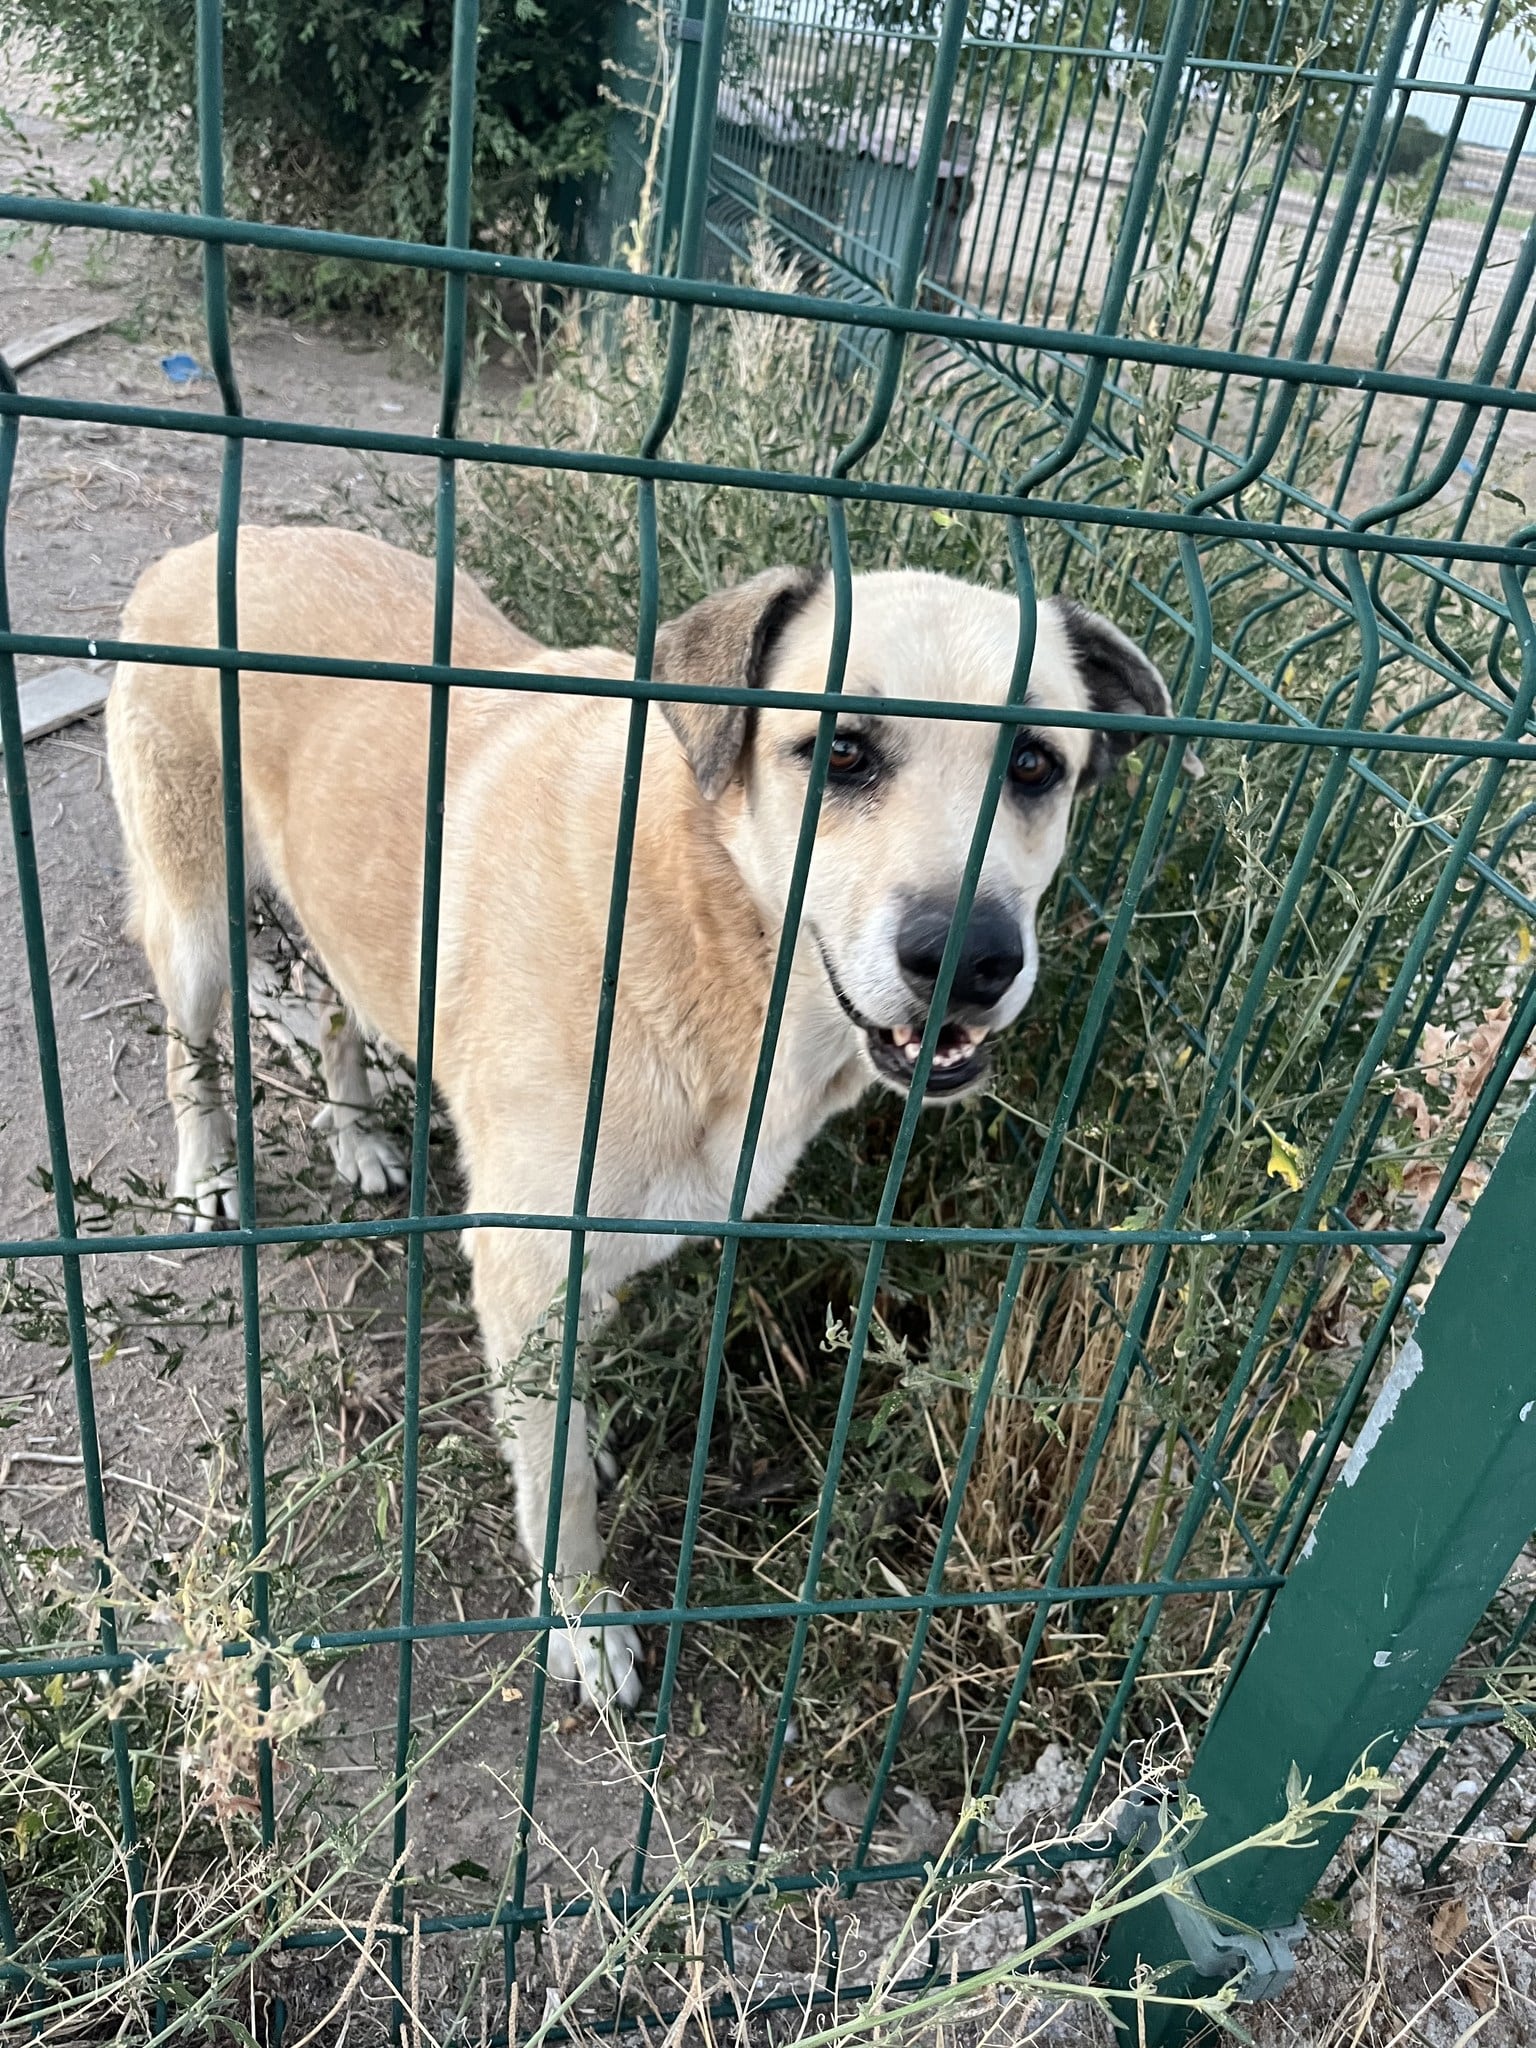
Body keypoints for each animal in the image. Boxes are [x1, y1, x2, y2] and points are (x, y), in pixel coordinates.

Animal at [105, 528, 1163, 1712]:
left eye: (1034, 766)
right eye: (842, 751)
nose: (972, 958)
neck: (700, 913)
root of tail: (215, 539)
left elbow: (571, 1404)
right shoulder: (526, 1259)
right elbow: (556, 1479)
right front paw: (581, 1618)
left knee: (336, 1005)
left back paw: (356, 1132)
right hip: (198, 924)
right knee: (187, 1048)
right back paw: (208, 1176)